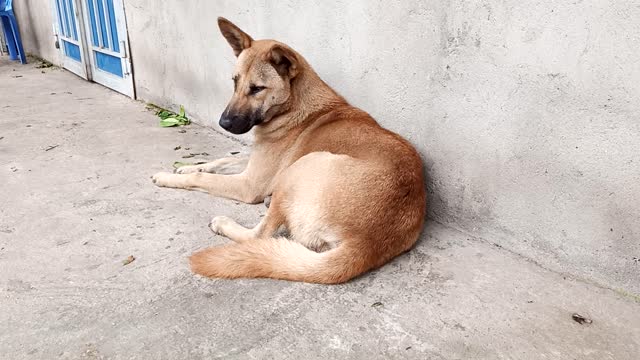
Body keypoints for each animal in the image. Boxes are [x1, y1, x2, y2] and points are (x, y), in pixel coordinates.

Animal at [152, 17, 428, 284]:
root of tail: (367, 243)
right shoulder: (254, 165)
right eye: (235, 82)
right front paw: (186, 167)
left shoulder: (249, 184)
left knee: (259, 236)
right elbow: (219, 161)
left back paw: (225, 223)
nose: (224, 124)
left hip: (301, 167)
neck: (294, 105)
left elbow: (203, 178)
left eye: (257, 89)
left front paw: (167, 177)